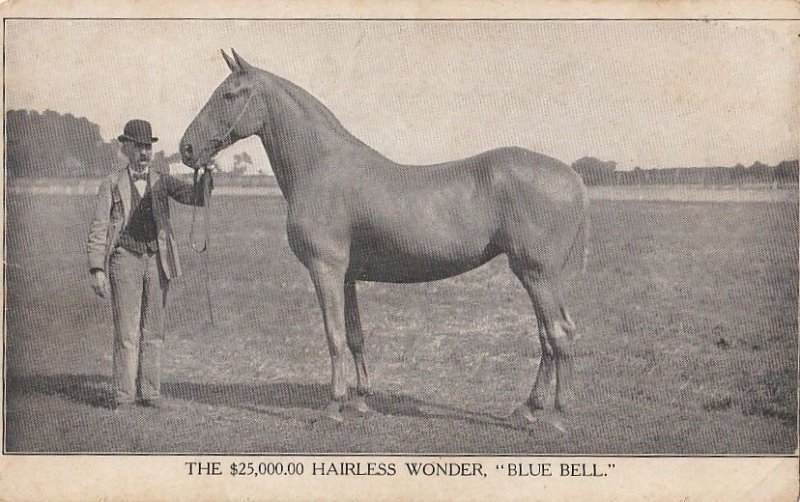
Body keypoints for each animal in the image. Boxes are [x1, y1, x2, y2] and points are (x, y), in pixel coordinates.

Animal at [183, 49, 592, 424]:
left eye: (229, 95)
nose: (186, 148)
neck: (320, 166)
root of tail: (573, 179)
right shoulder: (346, 276)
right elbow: (354, 335)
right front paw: (361, 399)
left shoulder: (325, 269)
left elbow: (333, 335)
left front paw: (334, 406)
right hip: (541, 276)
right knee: (549, 335)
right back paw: (529, 408)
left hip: (536, 273)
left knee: (557, 333)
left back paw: (557, 414)